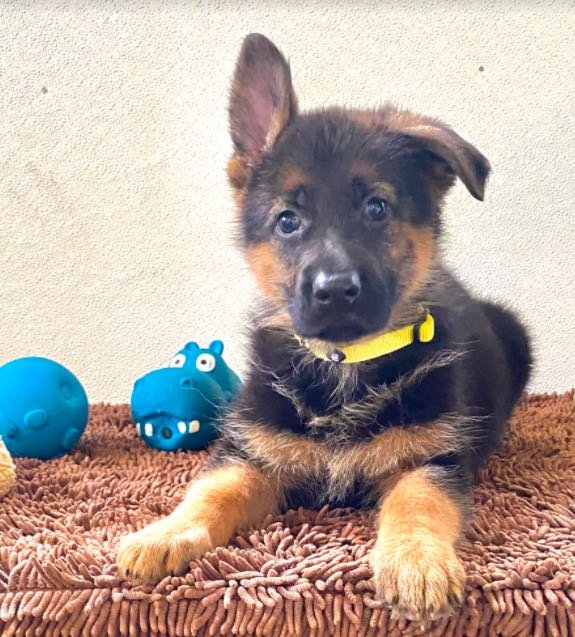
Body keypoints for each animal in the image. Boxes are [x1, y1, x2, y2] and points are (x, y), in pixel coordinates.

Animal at [119, 33, 532, 620]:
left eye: (376, 208)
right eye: (288, 221)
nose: (335, 290)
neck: (344, 364)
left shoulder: (433, 459)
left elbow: (418, 502)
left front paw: (416, 562)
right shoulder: (251, 451)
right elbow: (212, 492)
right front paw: (165, 534)